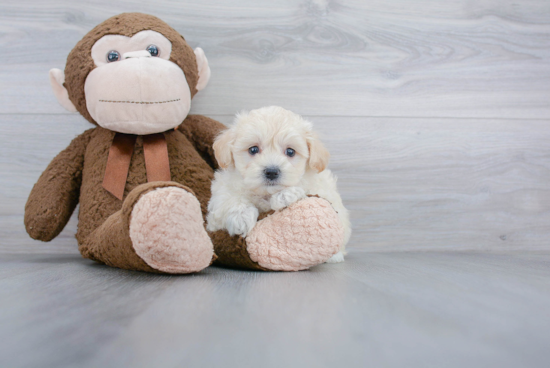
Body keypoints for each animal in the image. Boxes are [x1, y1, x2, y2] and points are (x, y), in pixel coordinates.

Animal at [207, 105, 354, 262]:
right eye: (253, 149)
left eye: (290, 152)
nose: (271, 171)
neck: (265, 194)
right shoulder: (217, 208)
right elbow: (226, 199)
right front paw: (241, 217)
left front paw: (285, 196)